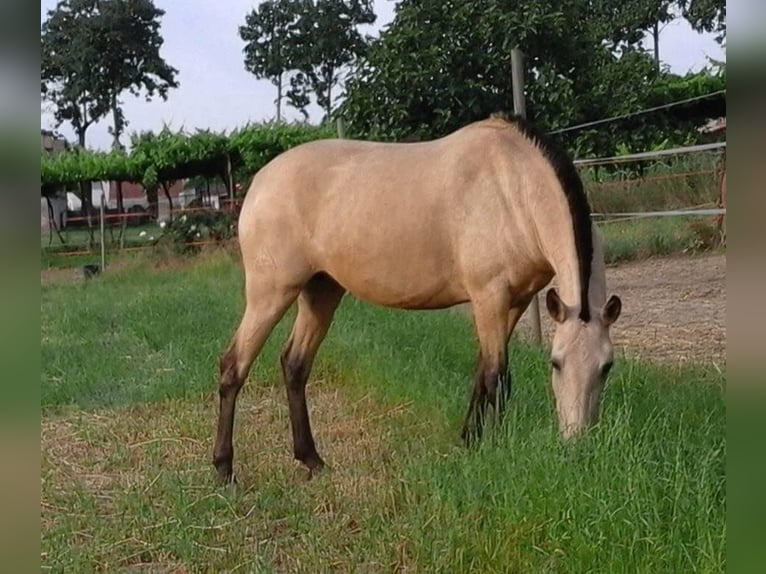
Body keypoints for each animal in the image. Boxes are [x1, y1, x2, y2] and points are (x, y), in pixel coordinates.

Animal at [213, 115, 620, 484]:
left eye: (606, 367)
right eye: (556, 363)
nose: (577, 442)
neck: (513, 186)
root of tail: (259, 183)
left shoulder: (515, 303)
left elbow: (481, 373)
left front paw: (468, 441)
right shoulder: (489, 297)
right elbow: (496, 378)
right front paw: (495, 450)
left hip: (321, 292)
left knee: (295, 365)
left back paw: (311, 459)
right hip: (271, 293)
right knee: (234, 366)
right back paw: (224, 469)